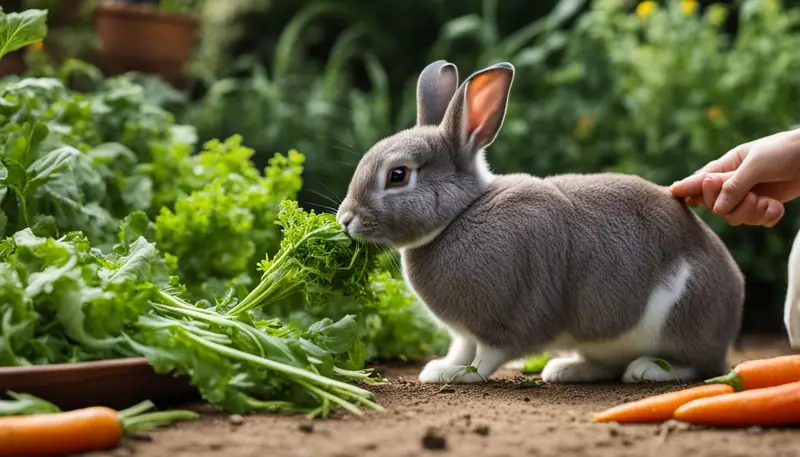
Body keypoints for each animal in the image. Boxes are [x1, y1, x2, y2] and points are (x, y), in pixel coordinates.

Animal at [336, 60, 745, 384]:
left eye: (398, 175)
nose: (345, 220)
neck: (460, 214)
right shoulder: (465, 333)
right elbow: (461, 348)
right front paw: (440, 369)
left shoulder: (505, 321)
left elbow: (487, 357)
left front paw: (462, 375)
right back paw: (567, 369)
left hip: (681, 316)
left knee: (697, 367)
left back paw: (648, 370)